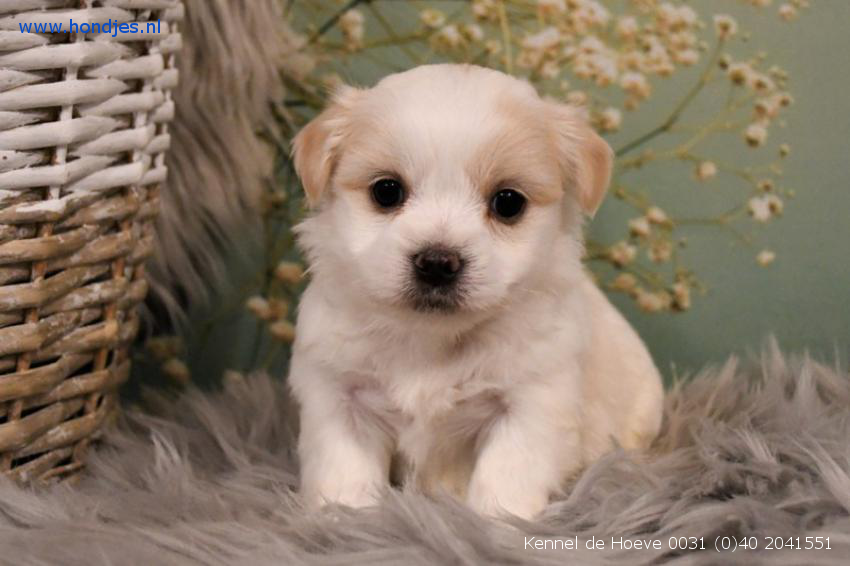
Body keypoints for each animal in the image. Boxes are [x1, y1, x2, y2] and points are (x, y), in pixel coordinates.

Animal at [290, 64, 664, 520]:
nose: (437, 262)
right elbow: (345, 474)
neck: (430, 339)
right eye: (386, 191)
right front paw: (344, 520)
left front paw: (496, 524)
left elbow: (504, 478)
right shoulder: (340, 396)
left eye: (508, 203)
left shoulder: (532, 402)